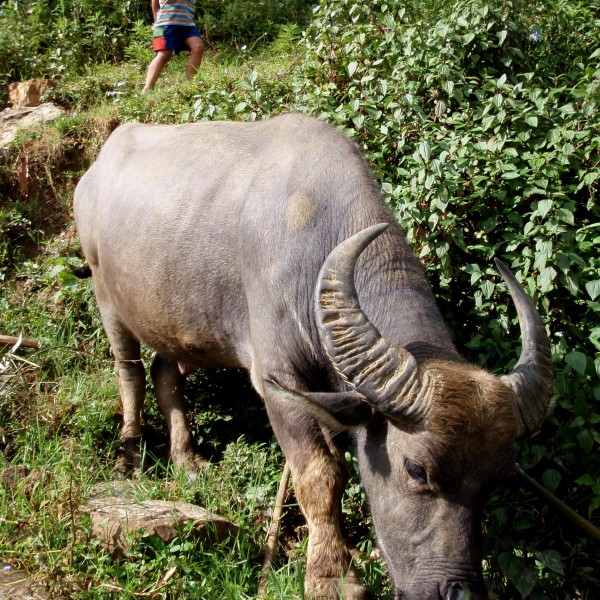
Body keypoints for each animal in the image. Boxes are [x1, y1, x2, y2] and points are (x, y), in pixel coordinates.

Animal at [75, 113, 552, 600]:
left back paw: (188, 461)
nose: (458, 591)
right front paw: (331, 575)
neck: (313, 239)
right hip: (106, 297)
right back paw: (130, 452)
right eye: (416, 469)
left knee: (164, 373)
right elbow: (321, 476)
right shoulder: (278, 382)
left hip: (169, 319)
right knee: (129, 370)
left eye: (496, 479)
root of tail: (95, 169)